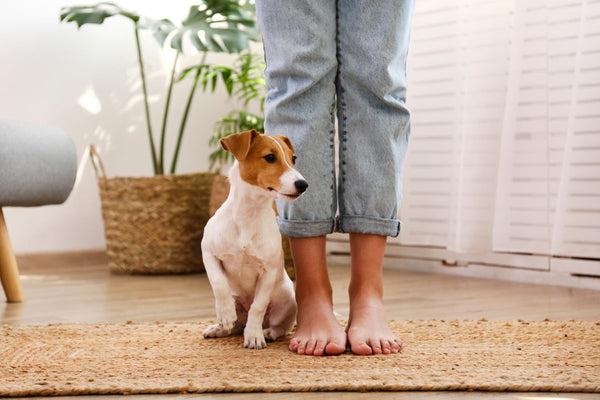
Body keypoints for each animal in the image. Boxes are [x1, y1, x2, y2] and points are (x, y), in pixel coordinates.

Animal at [200, 130, 308, 348]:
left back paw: (268, 332)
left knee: (279, 326)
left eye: (293, 159)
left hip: (288, 299)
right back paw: (220, 327)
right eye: (270, 157)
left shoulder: (268, 271)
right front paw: (225, 313)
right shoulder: (208, 252)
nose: (303, 185)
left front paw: (254, 336)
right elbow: (218, 282)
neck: (248, 215)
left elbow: (257, 307)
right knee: (235, 325)